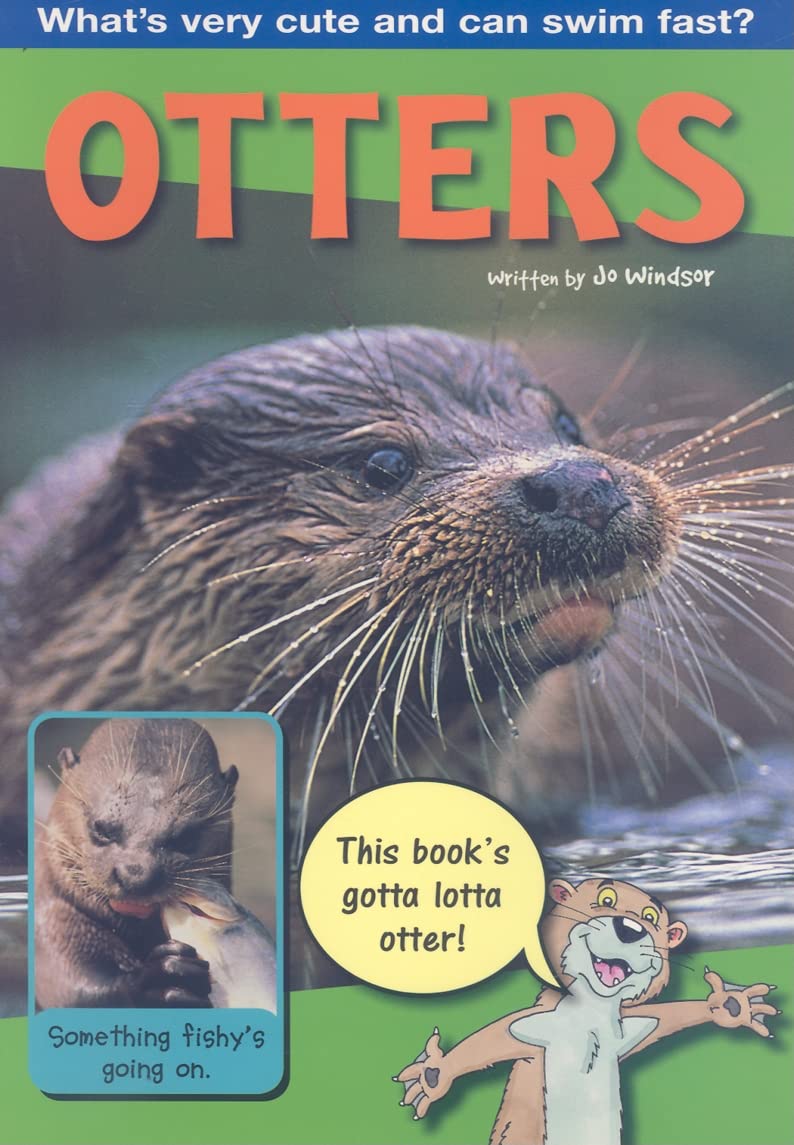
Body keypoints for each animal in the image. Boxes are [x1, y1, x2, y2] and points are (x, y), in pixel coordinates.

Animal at [35, 718, 239, 1008]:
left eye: (186, 837)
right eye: (101, 828)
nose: (136, 875)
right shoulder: (53, 931)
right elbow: (77, 989)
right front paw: (161, 977)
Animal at [395, 877, 779, 1145]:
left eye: (651, 918)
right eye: (606, 900)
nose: (630, 927)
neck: (589, 1016)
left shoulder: (630, 1028)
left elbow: (663, 1019)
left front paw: (730, 1006)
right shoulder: (535, 1027)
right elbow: (493, 1038)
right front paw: (433, 1074)